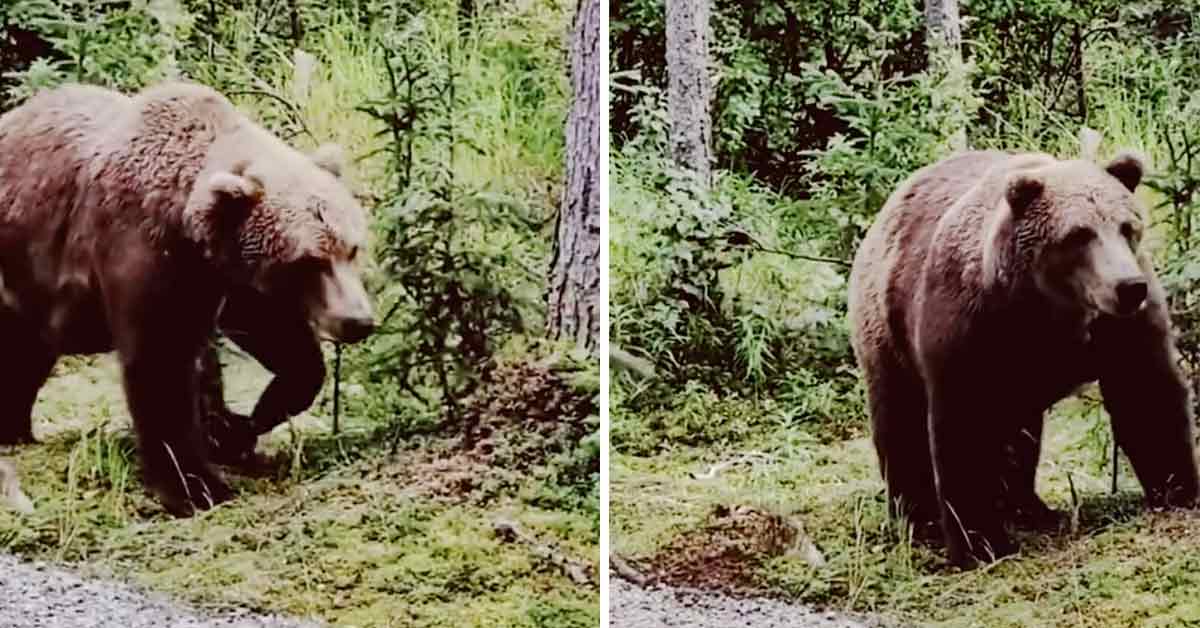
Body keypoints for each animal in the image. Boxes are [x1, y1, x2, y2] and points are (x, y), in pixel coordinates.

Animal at [0, 82, 372, 516]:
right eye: (310, 261)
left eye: (352, 248)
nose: (358, 321)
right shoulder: (140, 248)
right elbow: (162, 365)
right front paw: (197, 485)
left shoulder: (224, 274)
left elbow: (272, 333)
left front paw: (247, 422)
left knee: (26, 356)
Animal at [849, 150, 1195, 566]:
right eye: (1079, 233)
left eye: (1127, 227)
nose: (1128, 287)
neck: (1048, 309)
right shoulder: (971, 326)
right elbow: (965, 429)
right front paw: (980, 542)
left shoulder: (1120, 328)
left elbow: (1148, 394)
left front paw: (1178, 489)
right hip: (887, 332)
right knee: (900, 423)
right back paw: (917, 518)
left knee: (1019, 435)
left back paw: (1030, 507)